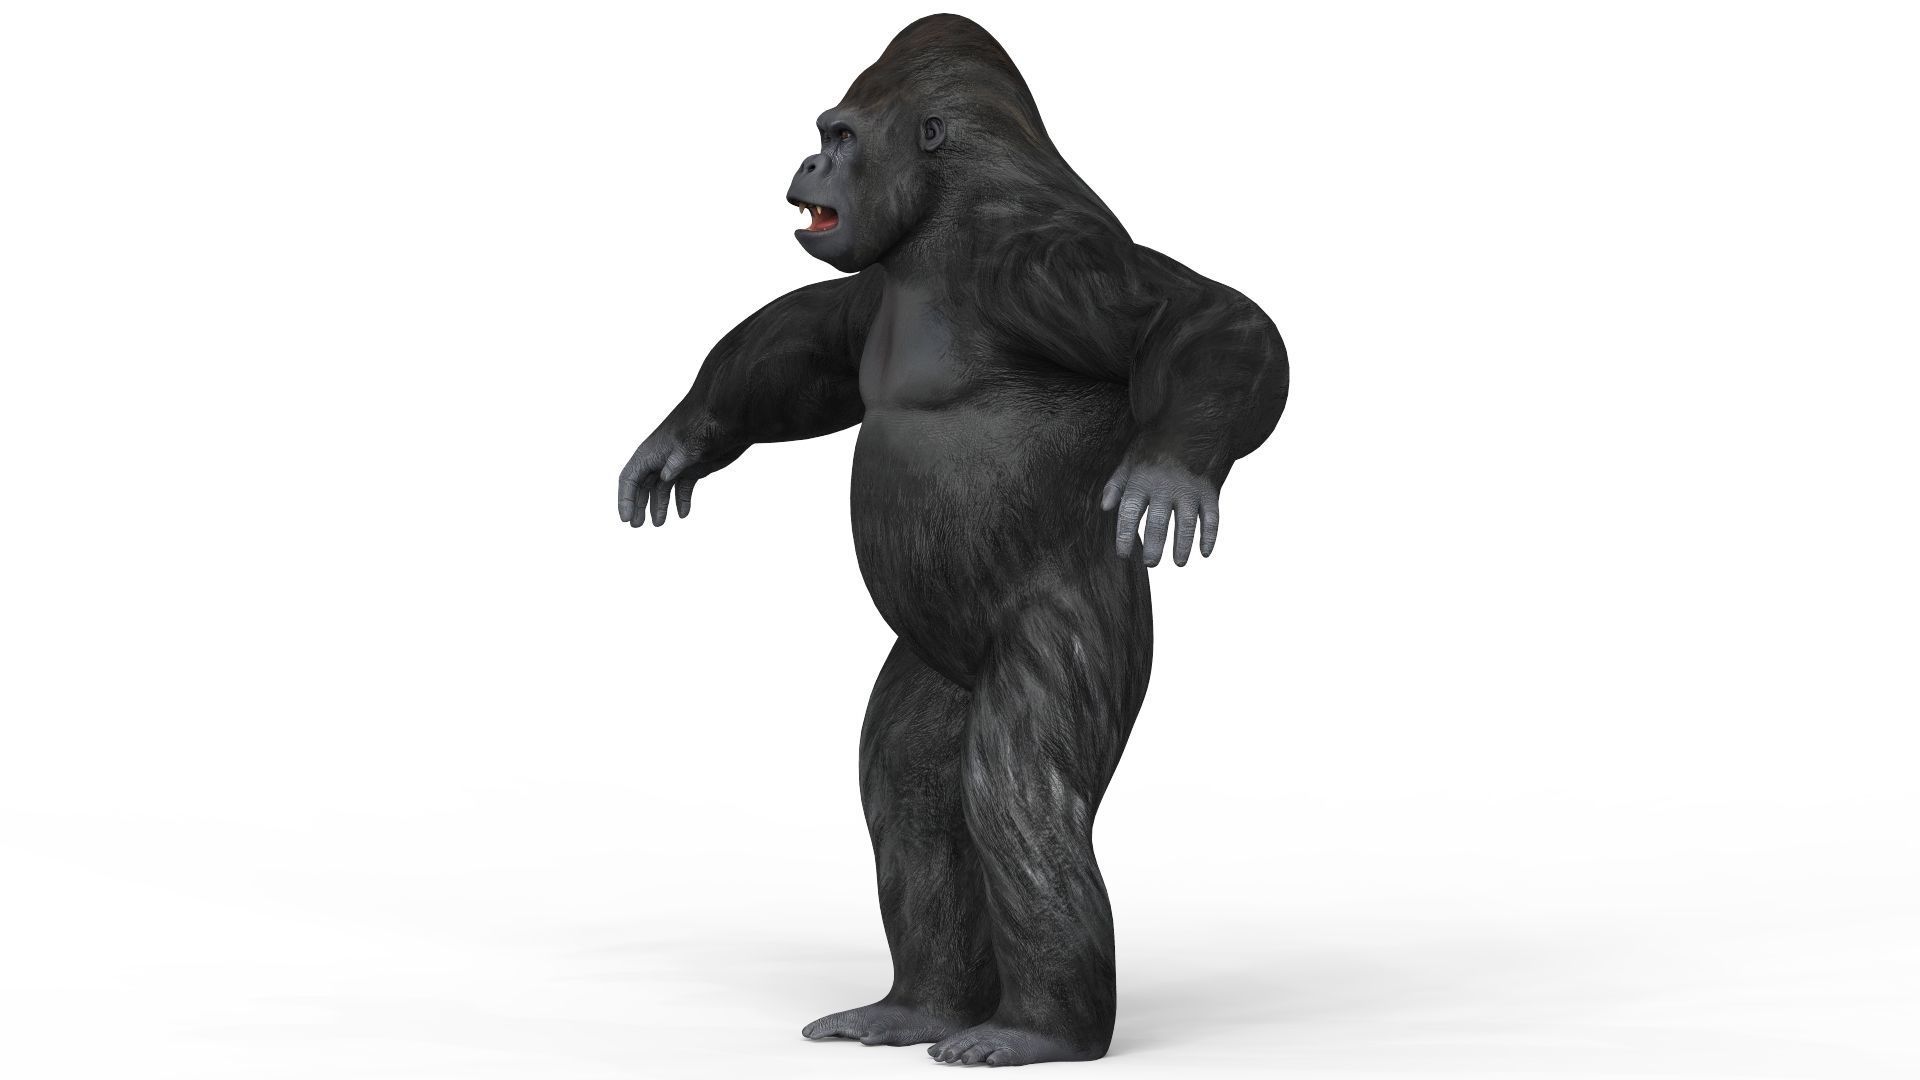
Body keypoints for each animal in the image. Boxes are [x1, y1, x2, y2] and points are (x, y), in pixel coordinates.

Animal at [618, 14, 1287, 1067]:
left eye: (842, 134)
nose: (811, 158)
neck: (934, 230)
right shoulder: (874, 287)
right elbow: (807, 348)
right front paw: (681, 438)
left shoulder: (1037, 265)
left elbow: (1197, 311)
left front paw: (1172, 469)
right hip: (933, 663)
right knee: (909, 785)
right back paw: (919, 1006)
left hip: (1080, 636)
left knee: (1016, 785)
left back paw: (1037, 1029)